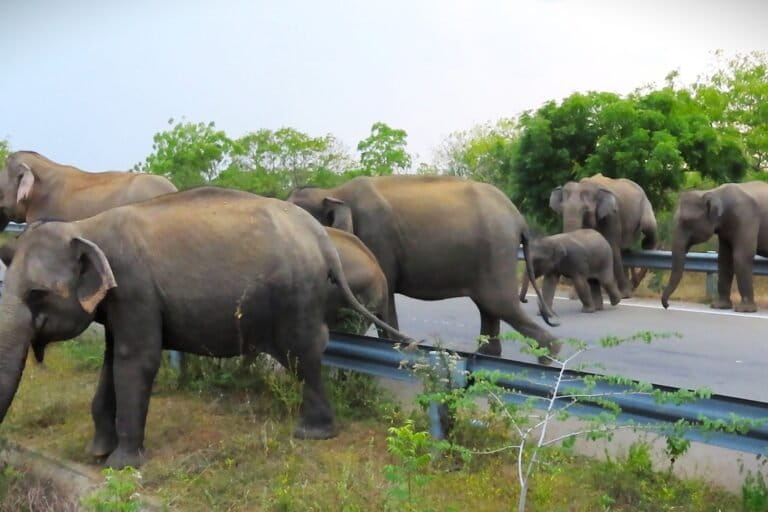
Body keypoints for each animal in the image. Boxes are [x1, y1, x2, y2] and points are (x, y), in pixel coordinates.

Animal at [0, 187, 410, 469]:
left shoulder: (135, 288)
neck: (86, 227)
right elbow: (112, 359)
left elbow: (137, 360)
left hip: (298, 293)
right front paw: (97, 453)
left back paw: (313, 434)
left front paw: (122, 465)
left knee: (302, 353)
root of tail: (323, 239)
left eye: (37, 294)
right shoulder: (119, 302)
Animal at [287, 175, 561, 362]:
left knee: (500, 304)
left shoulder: (377, 239)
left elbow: (384, 299)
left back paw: (549, 358)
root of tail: (519, 219)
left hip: (496, 251)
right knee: (490, 308)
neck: (333, 191)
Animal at [661, 182, 768, 313]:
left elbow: (741, 257)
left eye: (686, 222)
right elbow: (724, 259)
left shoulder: (747, 218)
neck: (715, 192)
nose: (667, 305)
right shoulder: (725, 229)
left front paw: (744, 310)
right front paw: (719, 306)